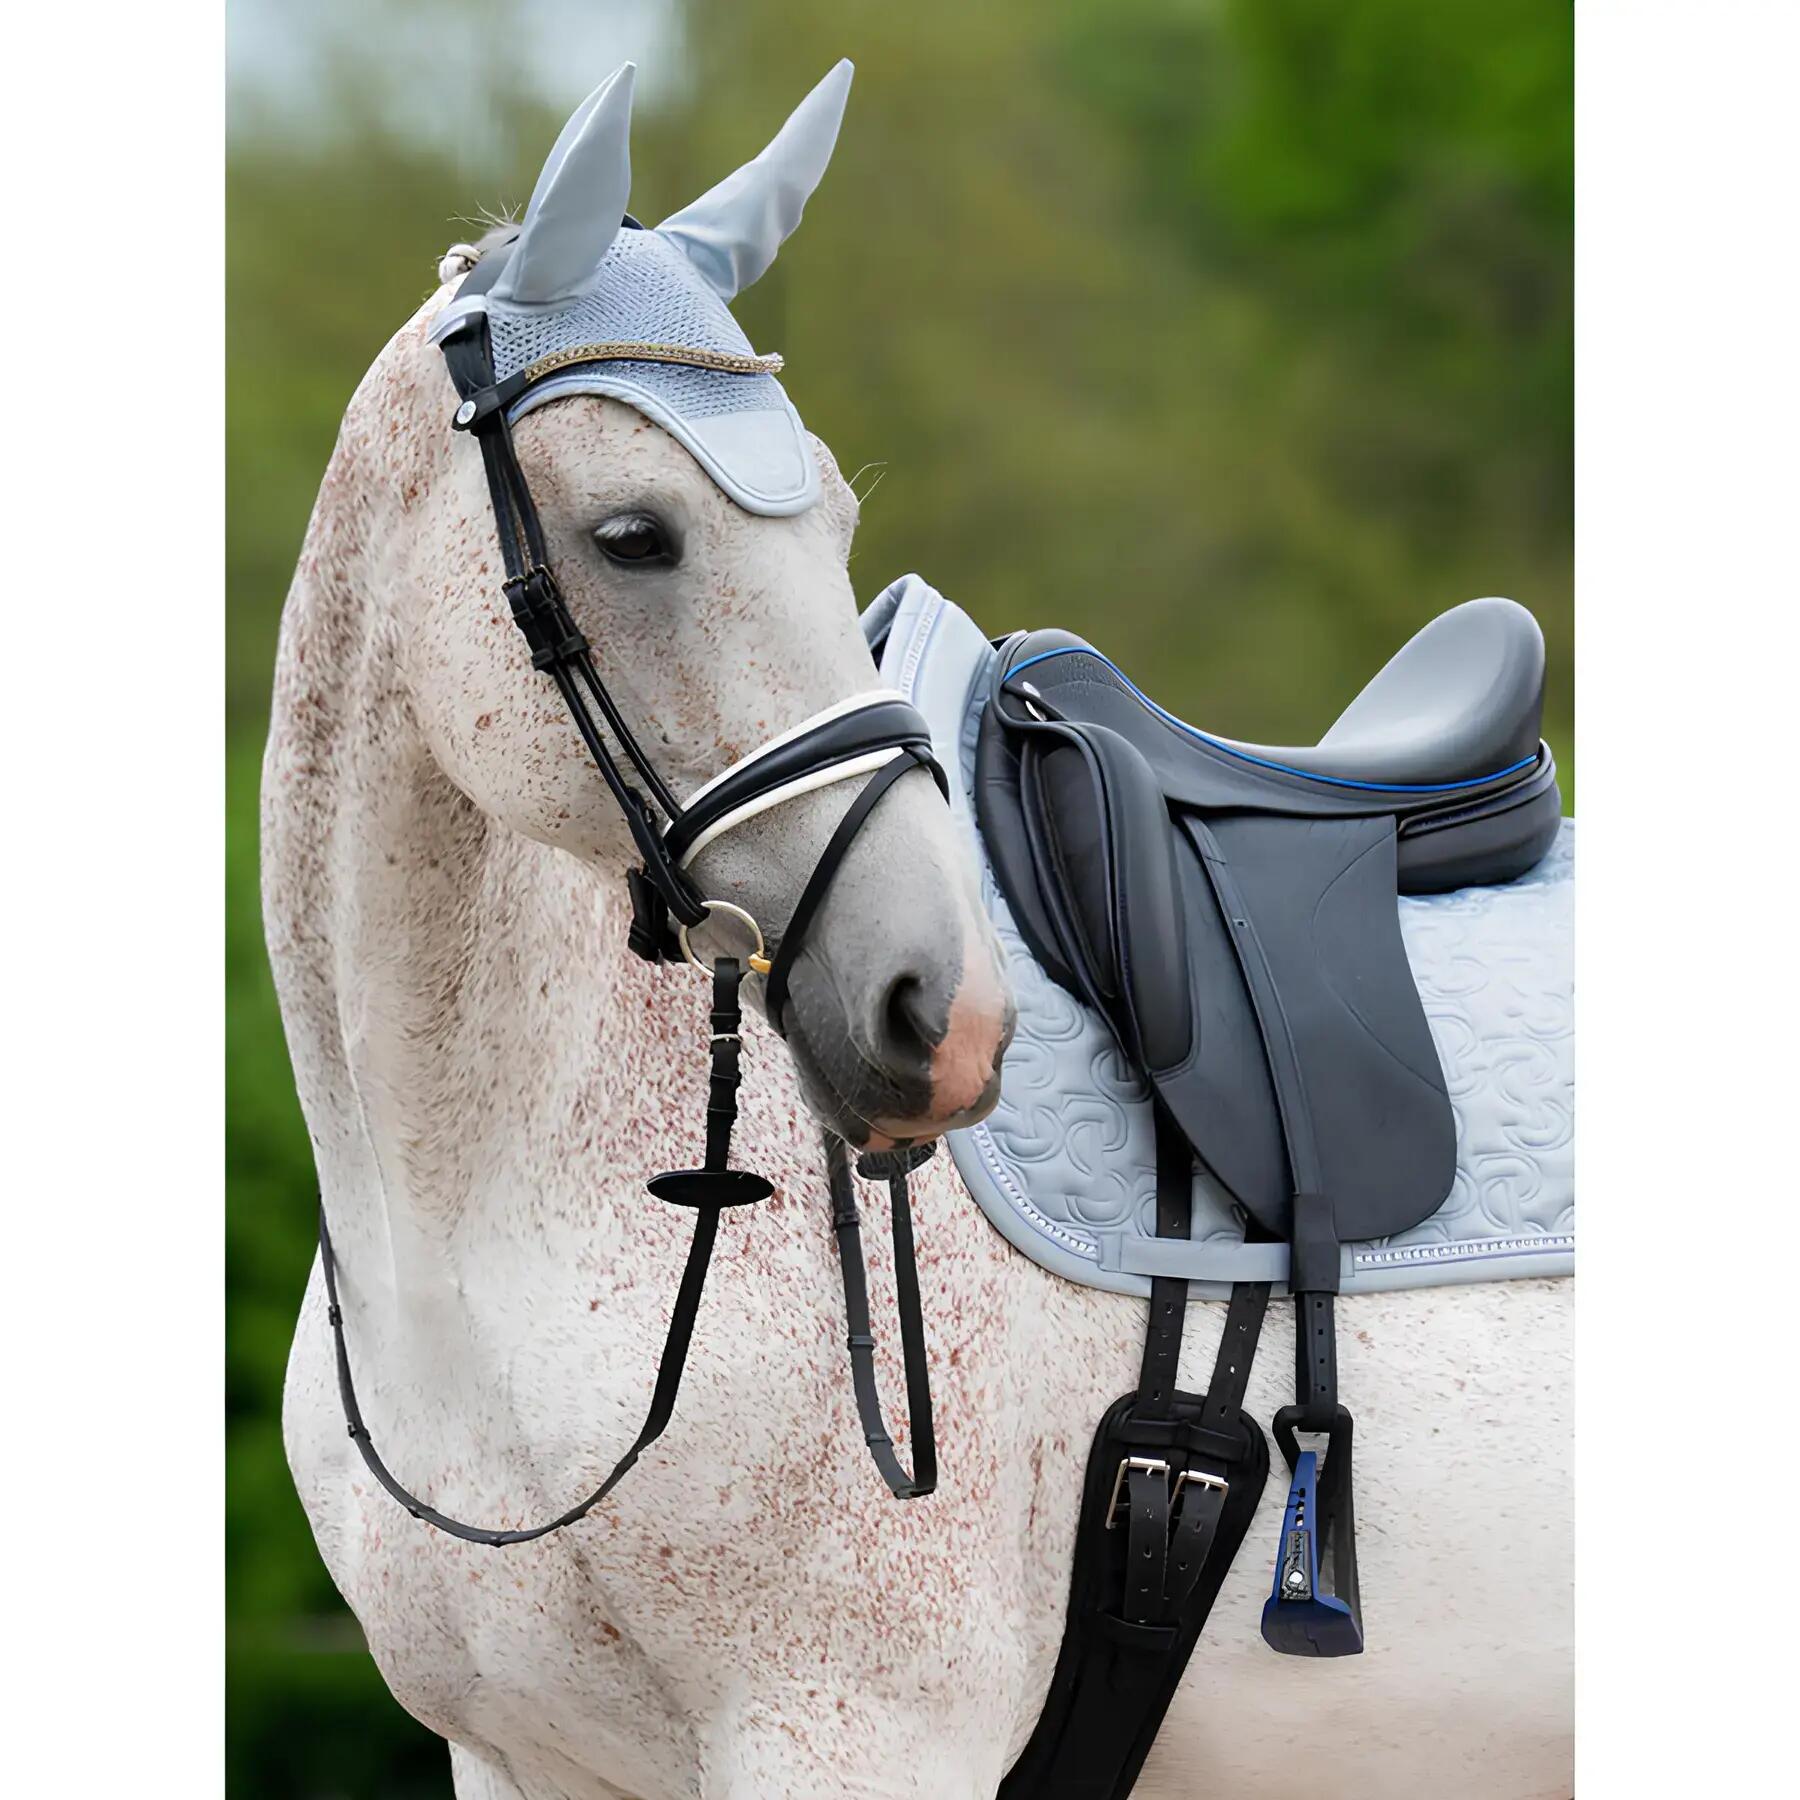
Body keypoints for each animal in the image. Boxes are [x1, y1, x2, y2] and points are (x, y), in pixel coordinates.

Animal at [267, 60, 1571, 1800]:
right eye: (633, 535)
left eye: (829, 520)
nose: (942, 1017)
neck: (464, 1245)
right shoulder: (522, 1760)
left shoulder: (851, 1730)